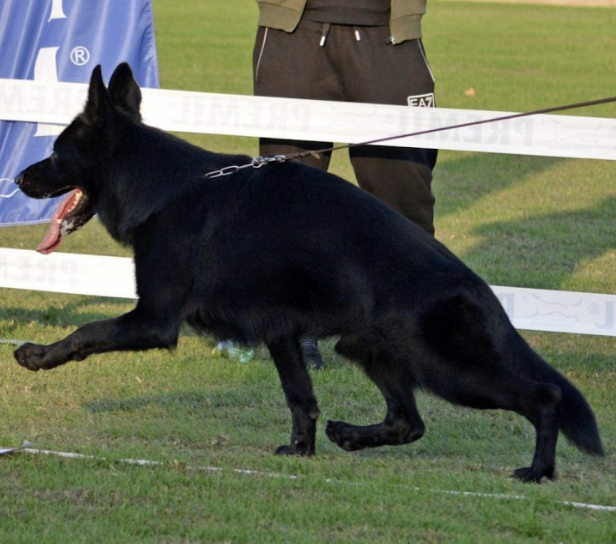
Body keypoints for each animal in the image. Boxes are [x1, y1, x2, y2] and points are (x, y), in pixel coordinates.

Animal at [13, 63, 600, 480]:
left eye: (56, 152)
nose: (18, 178)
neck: (161, 185)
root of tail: (478, 287)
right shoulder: (283, 334)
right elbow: (302, 399)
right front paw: (301, 451)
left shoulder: (155, 319)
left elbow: (87, 331)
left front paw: (38, 355)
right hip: (369, 350)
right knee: (409, 422)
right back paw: (353, 437)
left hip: (449, 369)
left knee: (543, 397)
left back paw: (538, 471)